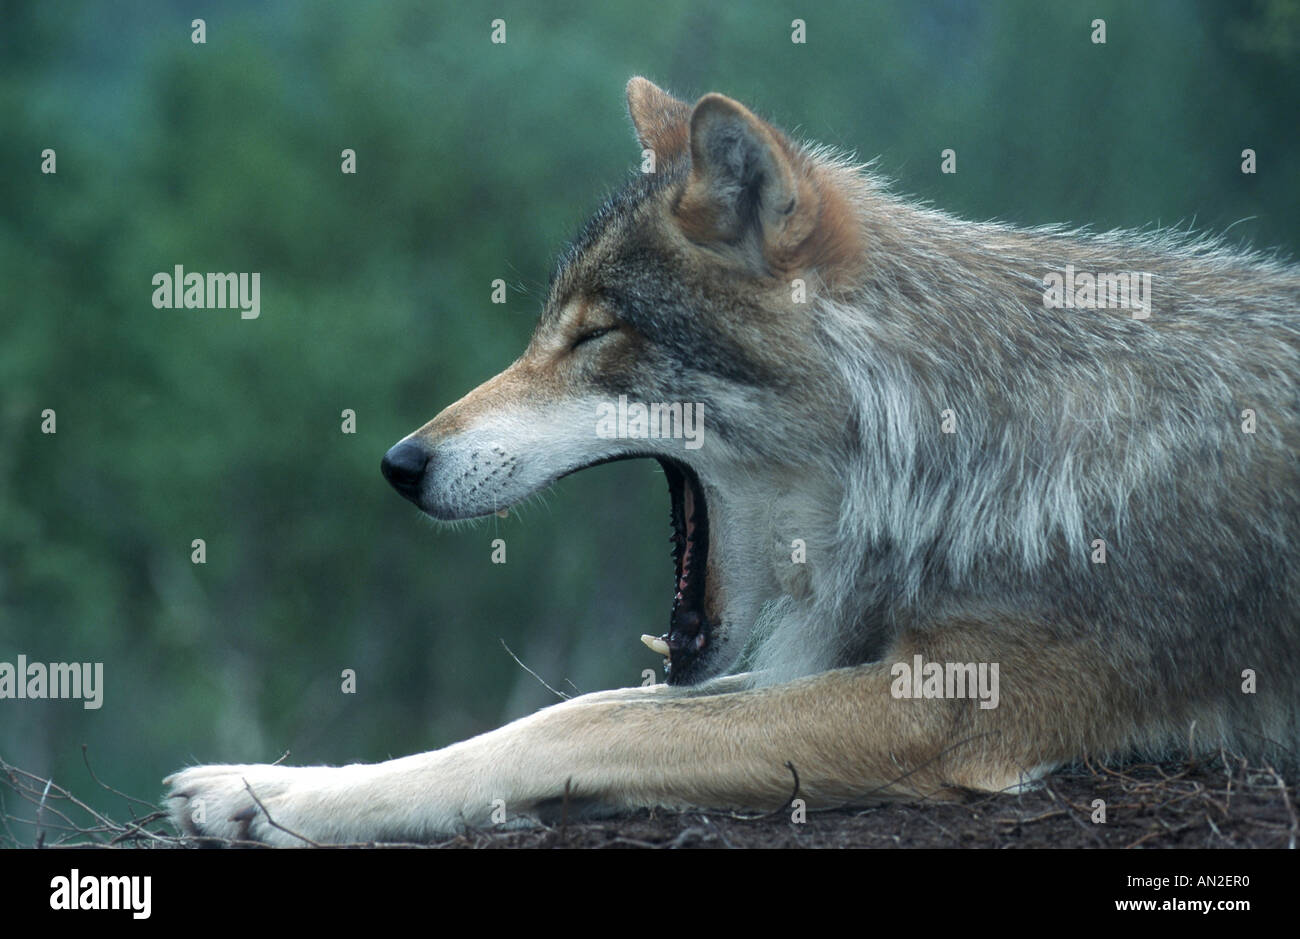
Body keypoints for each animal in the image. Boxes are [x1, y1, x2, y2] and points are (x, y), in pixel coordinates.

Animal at [166, 78, 1300, 845]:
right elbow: (584, 705)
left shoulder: (942, 706)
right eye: (547, 331)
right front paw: (263, 789)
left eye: (593, 337)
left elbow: (572, 728)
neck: (952, 430)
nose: (400, 463)